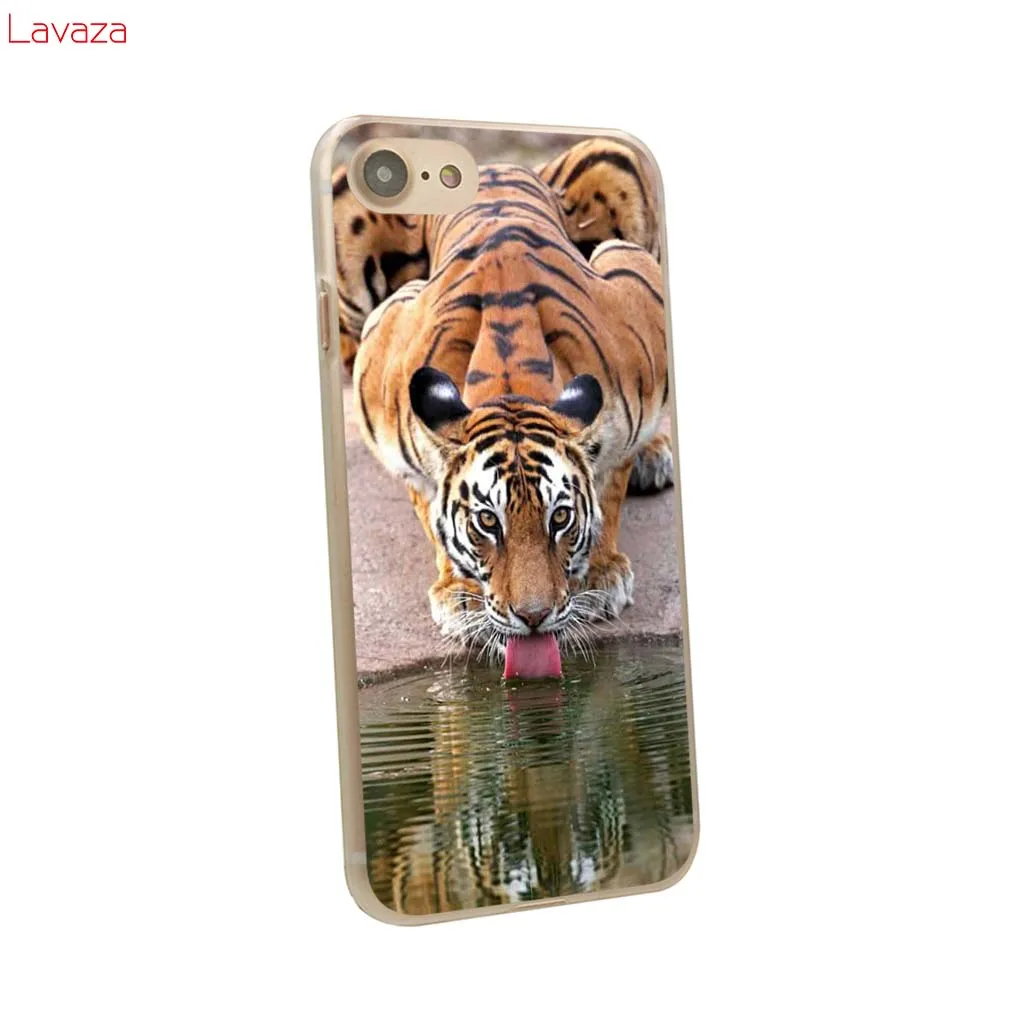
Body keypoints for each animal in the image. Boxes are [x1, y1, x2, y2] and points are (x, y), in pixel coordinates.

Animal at [352, 163, 671, 672]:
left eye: (560, 518)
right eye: (487, 522)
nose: (534, 617)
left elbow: (611, 481)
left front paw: (600, 575)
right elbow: (428, 503)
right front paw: (460, 594)